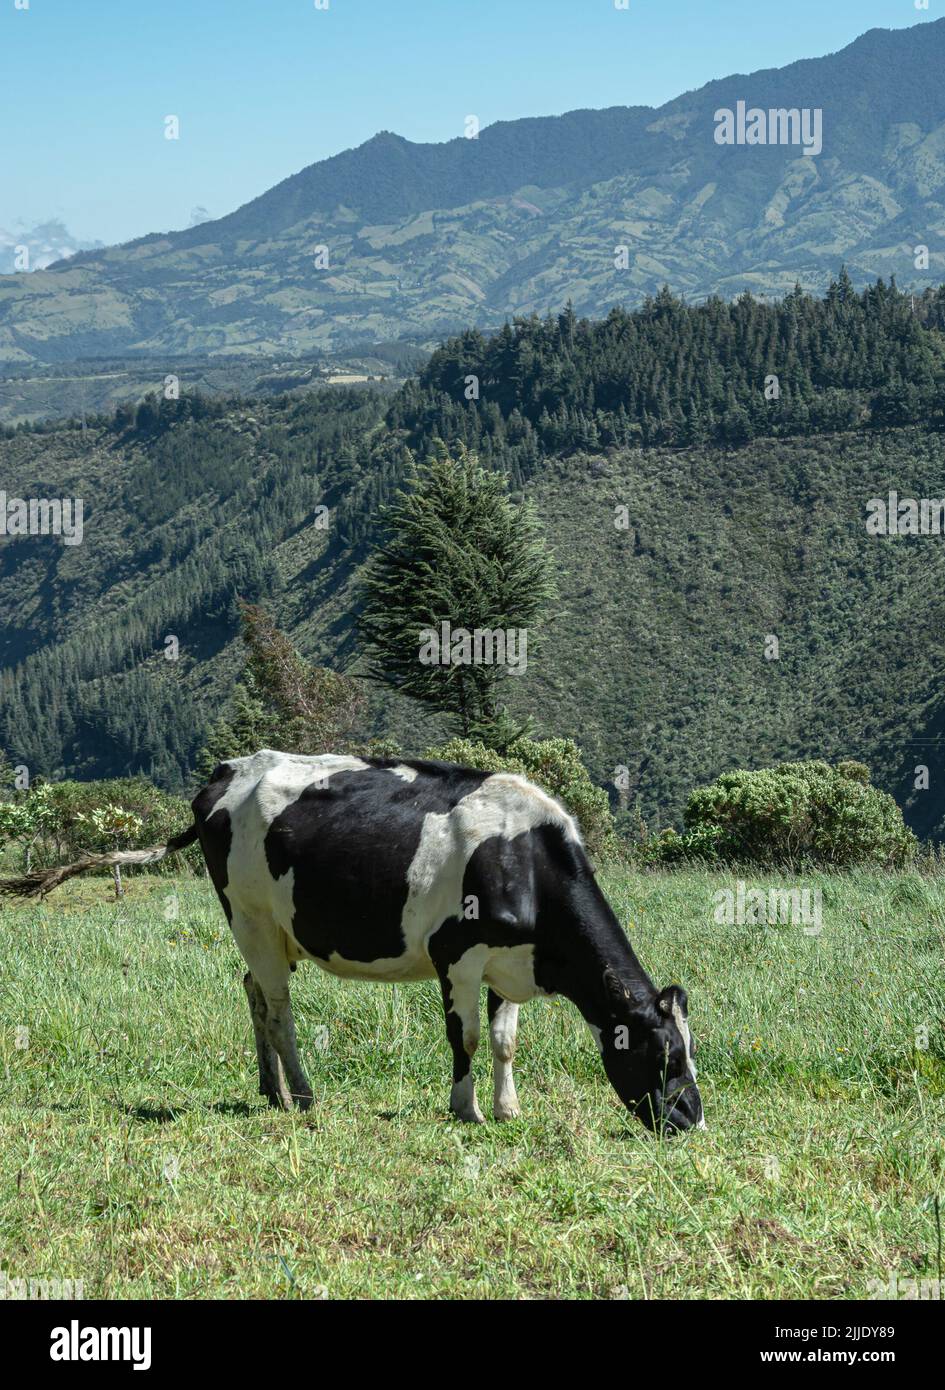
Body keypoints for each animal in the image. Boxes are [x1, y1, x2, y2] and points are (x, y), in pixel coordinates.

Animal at [0, 750, 705, 1128]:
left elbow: (504, 1041)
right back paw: (303, 1095)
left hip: (271, 931)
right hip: (250, 917)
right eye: (666, 1055)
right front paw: (466, 1109)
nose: (692, 1119)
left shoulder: (507, 962)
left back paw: (271, 1089)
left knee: (252, 991)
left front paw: (507, 1110)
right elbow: (467, 1038)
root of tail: (231, 769)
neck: (524, 858)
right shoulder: (457, 955)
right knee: (278, 1008)